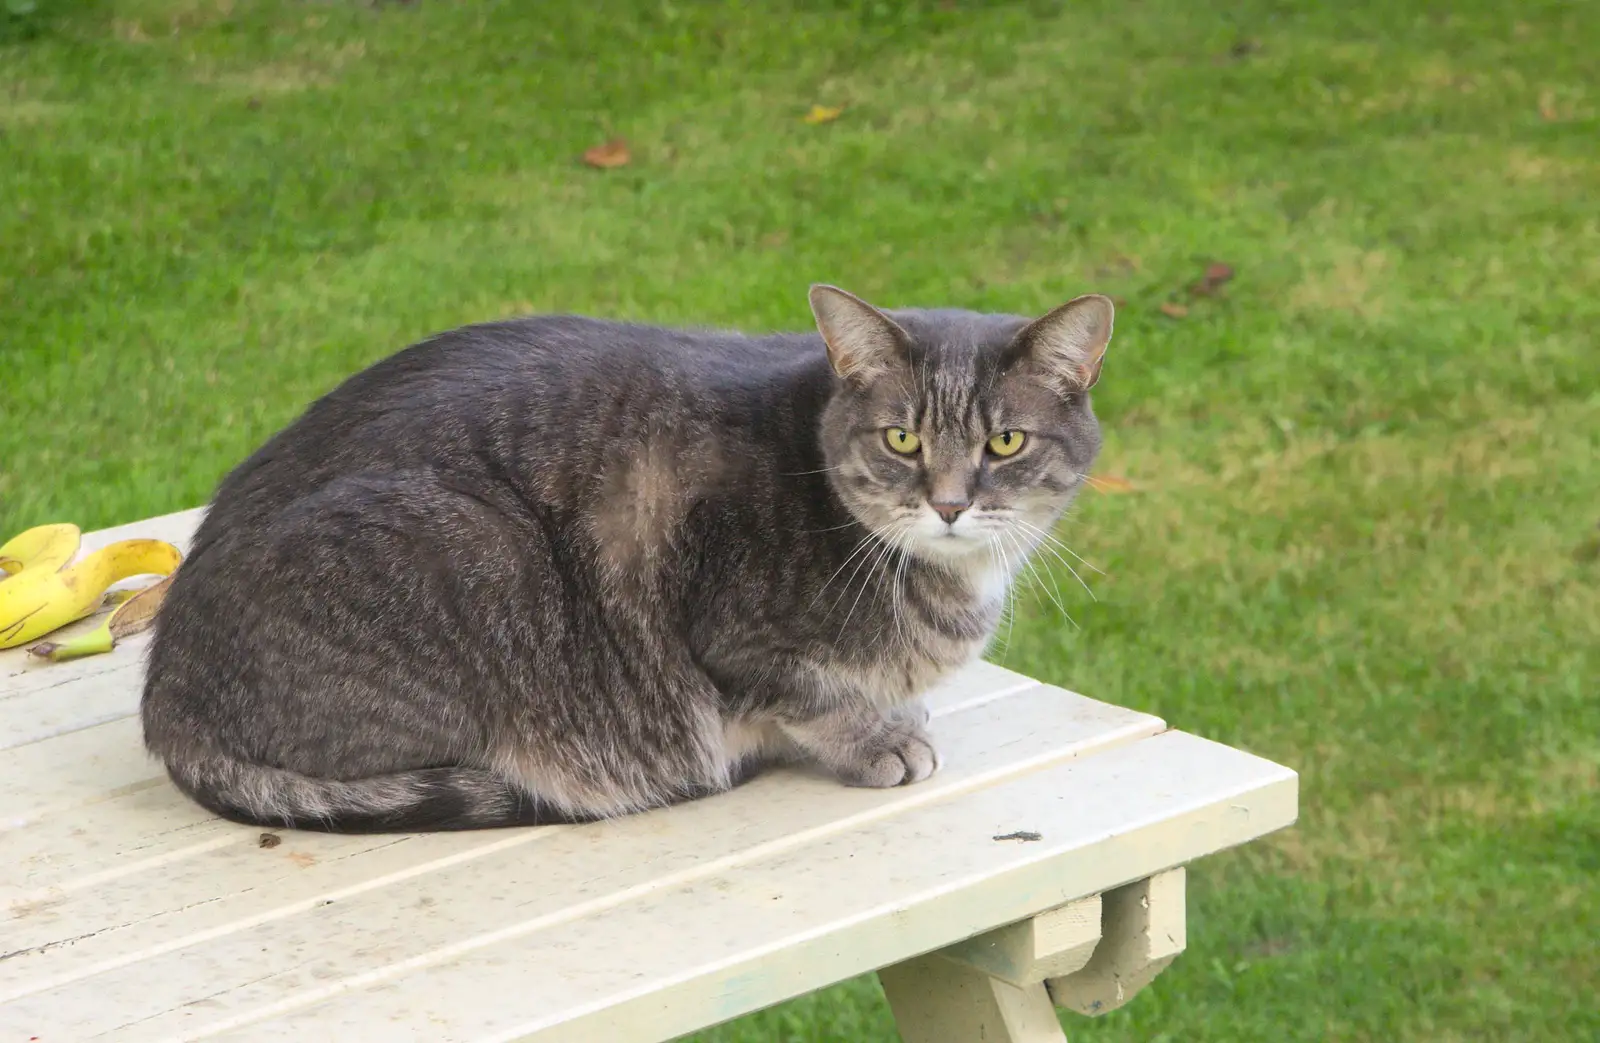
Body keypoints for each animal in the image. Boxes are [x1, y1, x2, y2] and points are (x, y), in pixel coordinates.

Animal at [140, 283, 1113, 831]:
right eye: (902, 438)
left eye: (1006, 442)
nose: (949, 503)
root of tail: (168, 694)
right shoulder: (727, 633)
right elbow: (809, 693)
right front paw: (875, 736)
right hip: (481, 554)